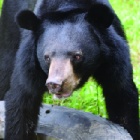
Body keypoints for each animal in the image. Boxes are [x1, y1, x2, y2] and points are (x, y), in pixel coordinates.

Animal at [1, 0, 139, 139]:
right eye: (47, 57)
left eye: (77, 56)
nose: (54, 84)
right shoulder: (29, 61)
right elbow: (22, 101)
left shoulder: (114, 57)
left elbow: (121, 96)